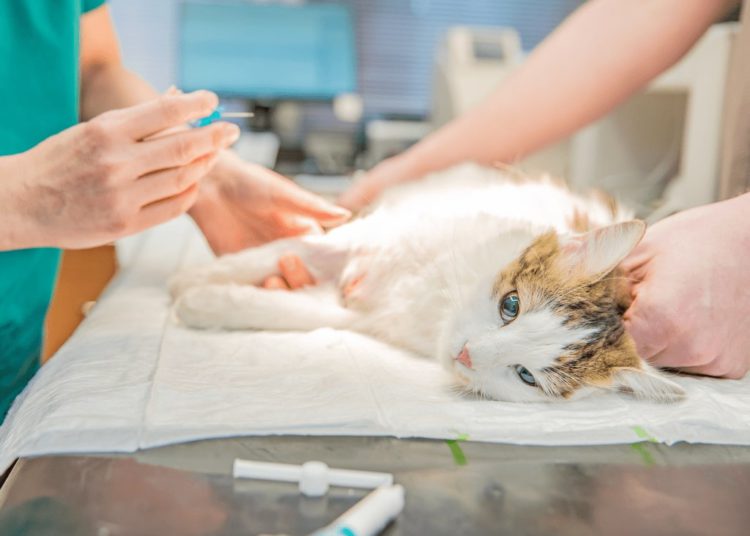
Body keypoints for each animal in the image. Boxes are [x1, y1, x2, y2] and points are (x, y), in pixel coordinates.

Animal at [169, 163, 688, 402]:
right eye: (511, 306)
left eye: (526, 375)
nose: (467, 354)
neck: (433, 295)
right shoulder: (371, 236)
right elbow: (281, 249)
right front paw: (196, 277)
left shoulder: (361, 311)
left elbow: (283, 310)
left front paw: (203, 301)